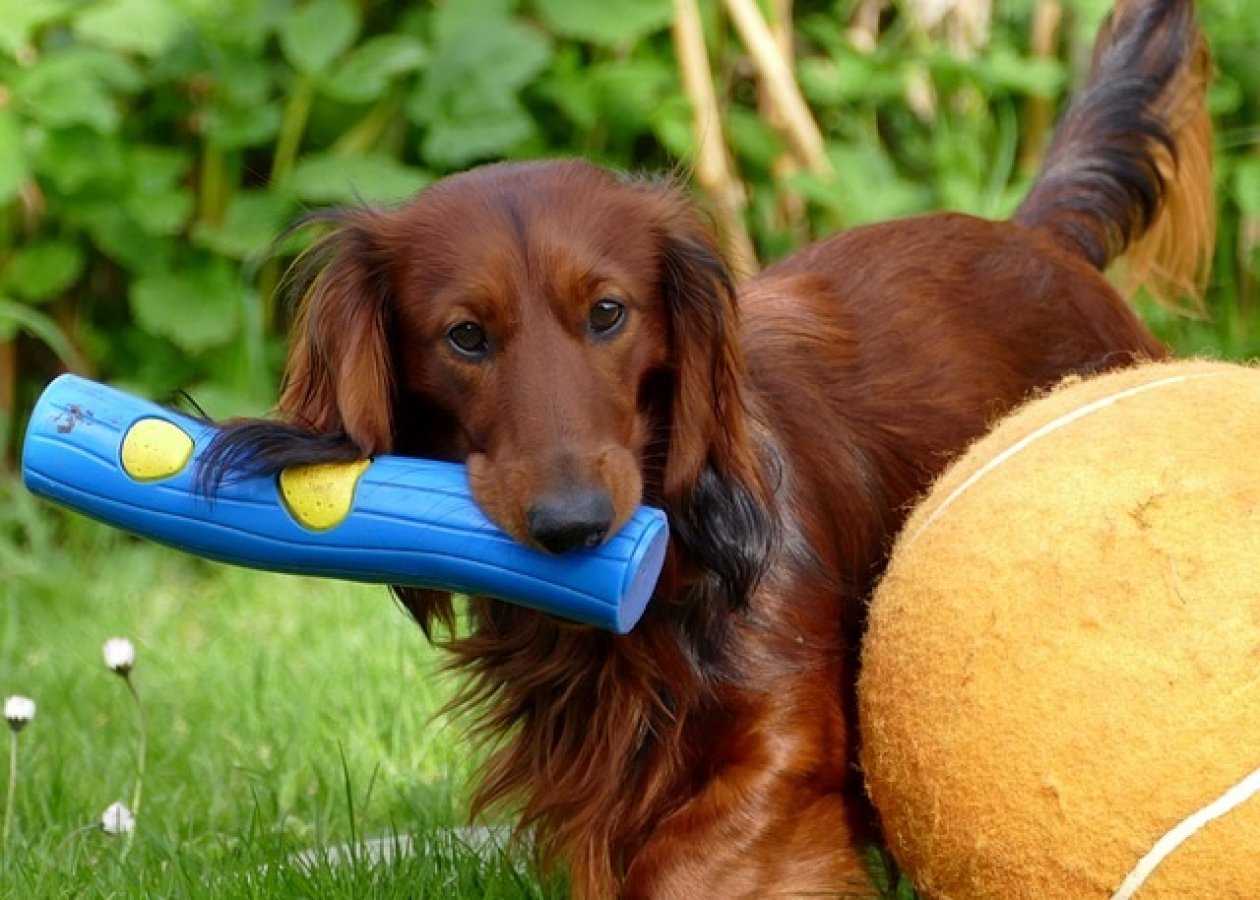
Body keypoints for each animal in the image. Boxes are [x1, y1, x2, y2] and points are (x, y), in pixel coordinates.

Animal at [204, 3, 1209, 892]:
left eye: (609, 312)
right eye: (465, 337)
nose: (572, 528)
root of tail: (1041, 242)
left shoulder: (785, 743)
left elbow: (686, 863)